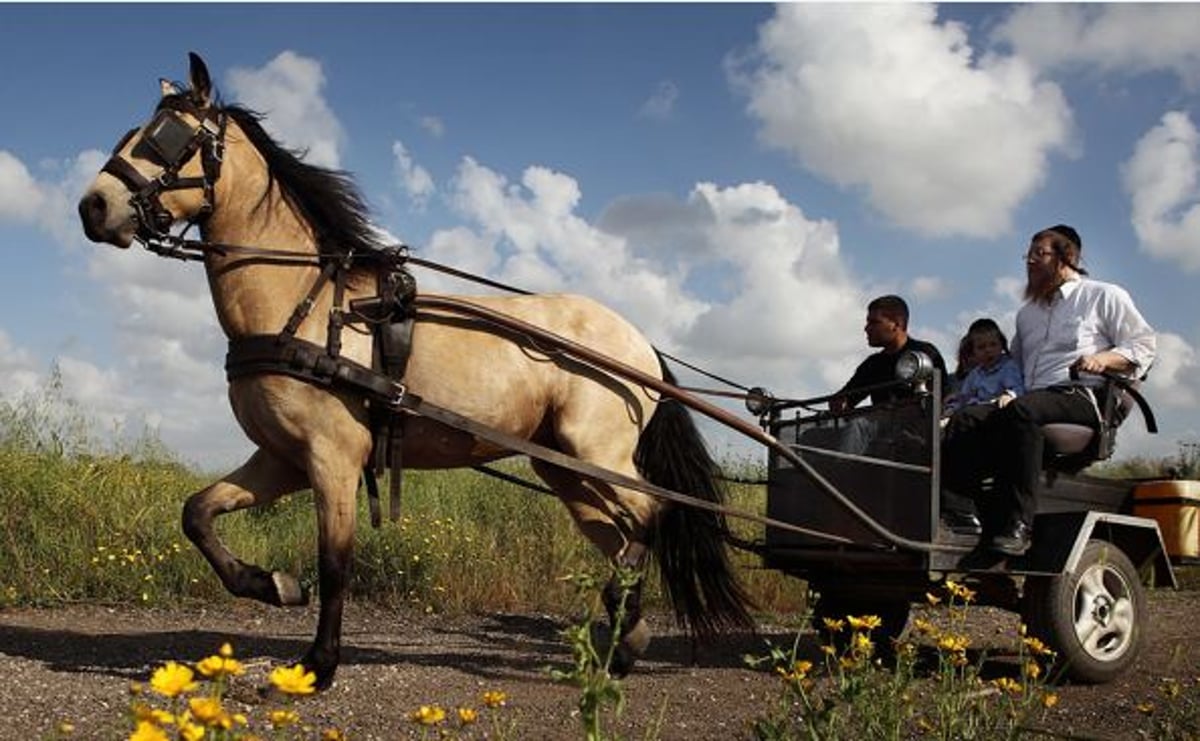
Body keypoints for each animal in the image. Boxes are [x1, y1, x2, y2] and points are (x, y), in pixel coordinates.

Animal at [75, 51, 748, 685]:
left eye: (165, 136)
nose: (92, 207)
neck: (310, 306)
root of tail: (641, 344)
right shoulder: (282, 457)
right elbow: (198, 514)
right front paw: (274, 586)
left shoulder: (333, 457)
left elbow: (335, 563)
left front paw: (318, 664)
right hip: (566, 471)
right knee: (623, 536)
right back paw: (625, 640)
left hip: (596, 453)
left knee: (651, 519)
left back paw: (623, 617)